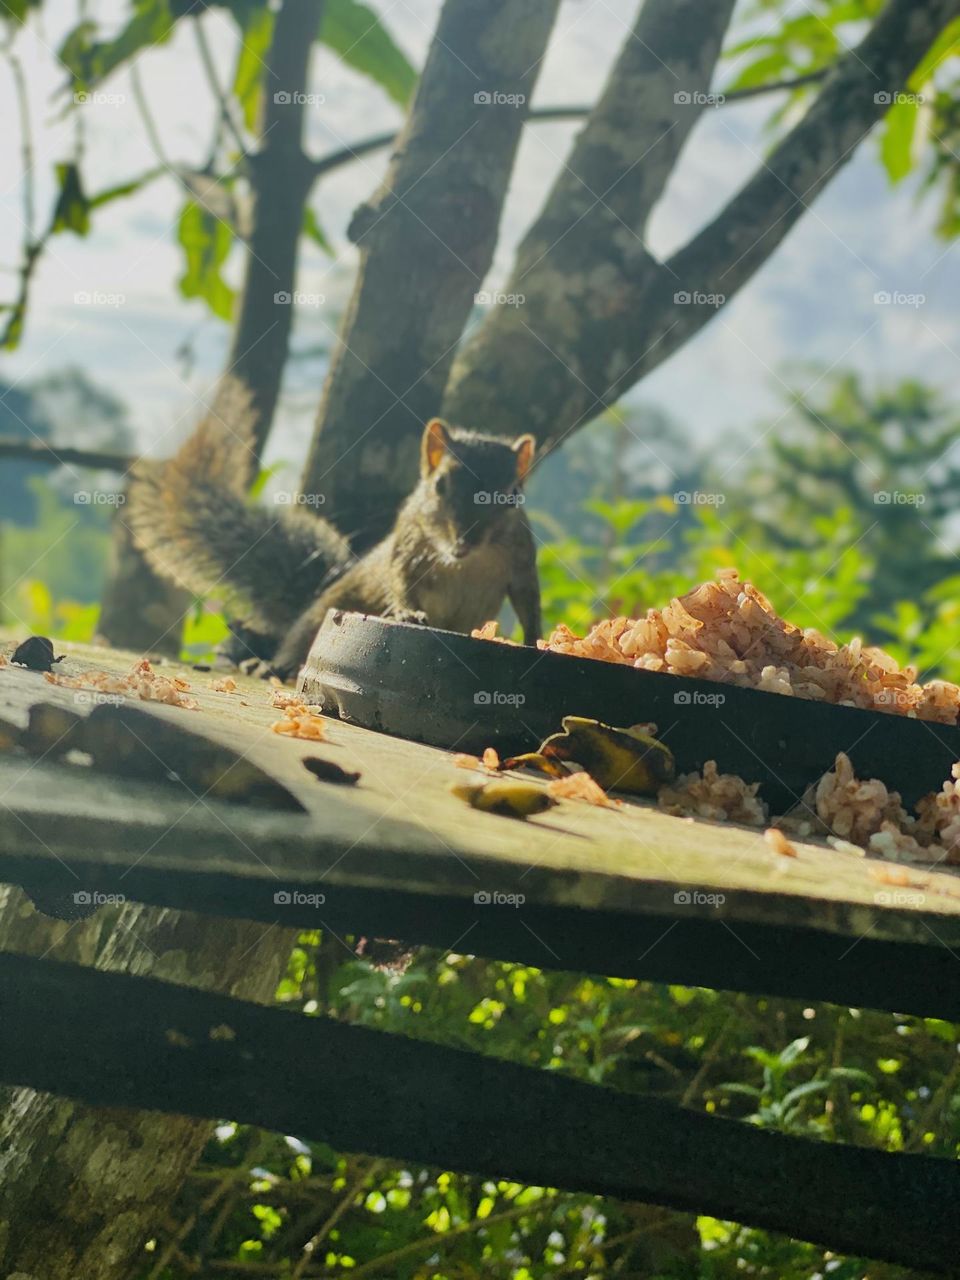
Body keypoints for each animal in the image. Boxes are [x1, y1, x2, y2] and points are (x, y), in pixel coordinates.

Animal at [128, 386, 542, 680]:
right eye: (439, 485)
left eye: (513, 494)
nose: (464, 541)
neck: (465, 563)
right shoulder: (407, 545)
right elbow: (399, 580)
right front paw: (409, 613)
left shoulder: (521, 558)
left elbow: (528, 599)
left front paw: (537, 639)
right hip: (321, 613)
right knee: (299, 639)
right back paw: (272, 665)